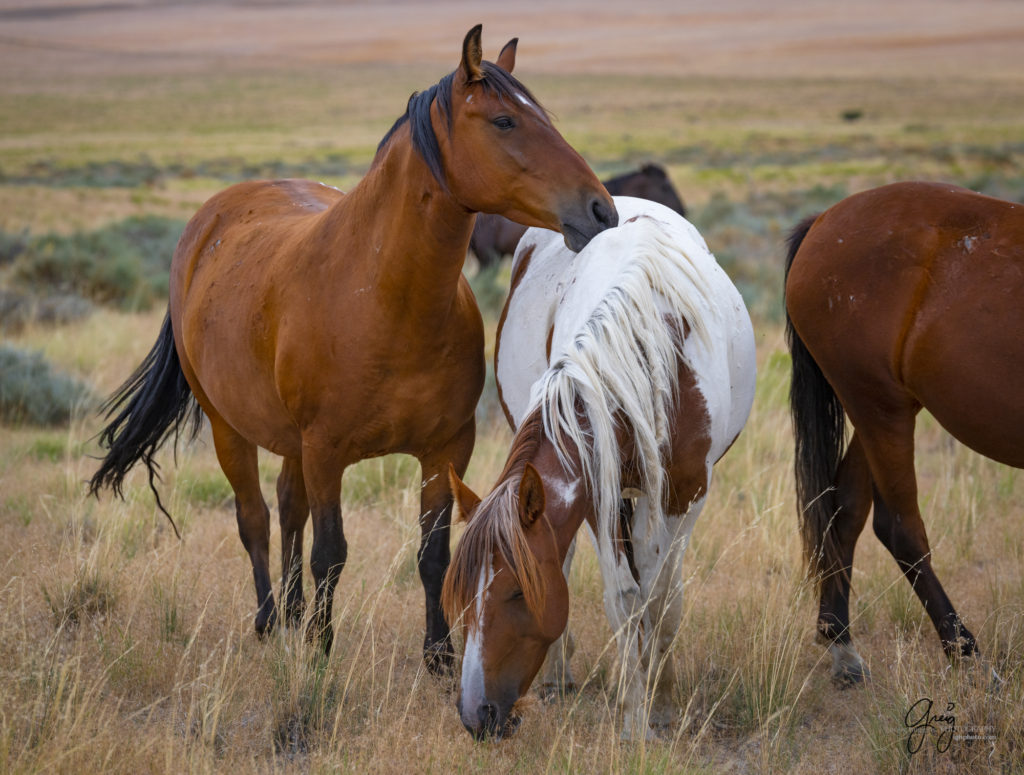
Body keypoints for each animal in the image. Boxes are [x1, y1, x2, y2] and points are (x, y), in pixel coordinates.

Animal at [88, 25, 614, 671]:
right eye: (504, 121)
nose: (602, 209)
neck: (383, 299)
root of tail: (205, 224)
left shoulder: (445, 448)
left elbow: (431, 553)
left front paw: (438, 655)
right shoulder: (326, 451)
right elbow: (331, 551)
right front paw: (321, 648)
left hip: (289, 439)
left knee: (288, 506)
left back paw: (291, 612)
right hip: (229, 427)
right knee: (255, 518)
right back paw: (271, 620)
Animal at [438, 194, 753, 737]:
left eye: (517, 594)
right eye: (460, 596)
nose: (476, 715)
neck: (648, 350)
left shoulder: (687, 492)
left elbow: (662, 600)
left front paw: (660, 706)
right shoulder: (597, 493)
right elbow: (624, 597)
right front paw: (633, 715)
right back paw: (560, 676)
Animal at [786, 181, 1019, 683]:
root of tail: (824, 220)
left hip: (873, 408)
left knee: (844, 509)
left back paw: (841, 642)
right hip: (881, 409)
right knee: (899, 528)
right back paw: (966, 654)